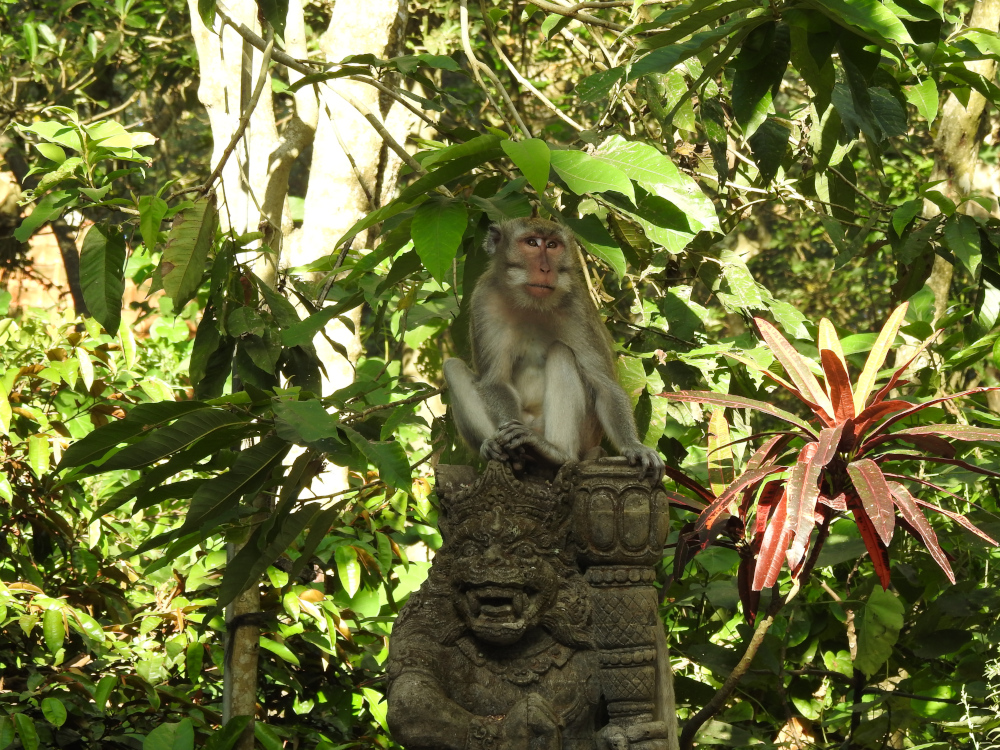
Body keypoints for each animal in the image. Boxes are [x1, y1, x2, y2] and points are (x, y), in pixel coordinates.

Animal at [444, 220, 664, 484]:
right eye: (531, 242)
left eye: (552, 245)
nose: (545, 269)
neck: (531, 303)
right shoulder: (483, 299)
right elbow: (494, 380)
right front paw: (504, 443)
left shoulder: (577, 306)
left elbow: (604, 384)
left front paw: (634, 446)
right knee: (452, 367)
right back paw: (502, 452)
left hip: (584, 435)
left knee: (561, 352)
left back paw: (553, 453)